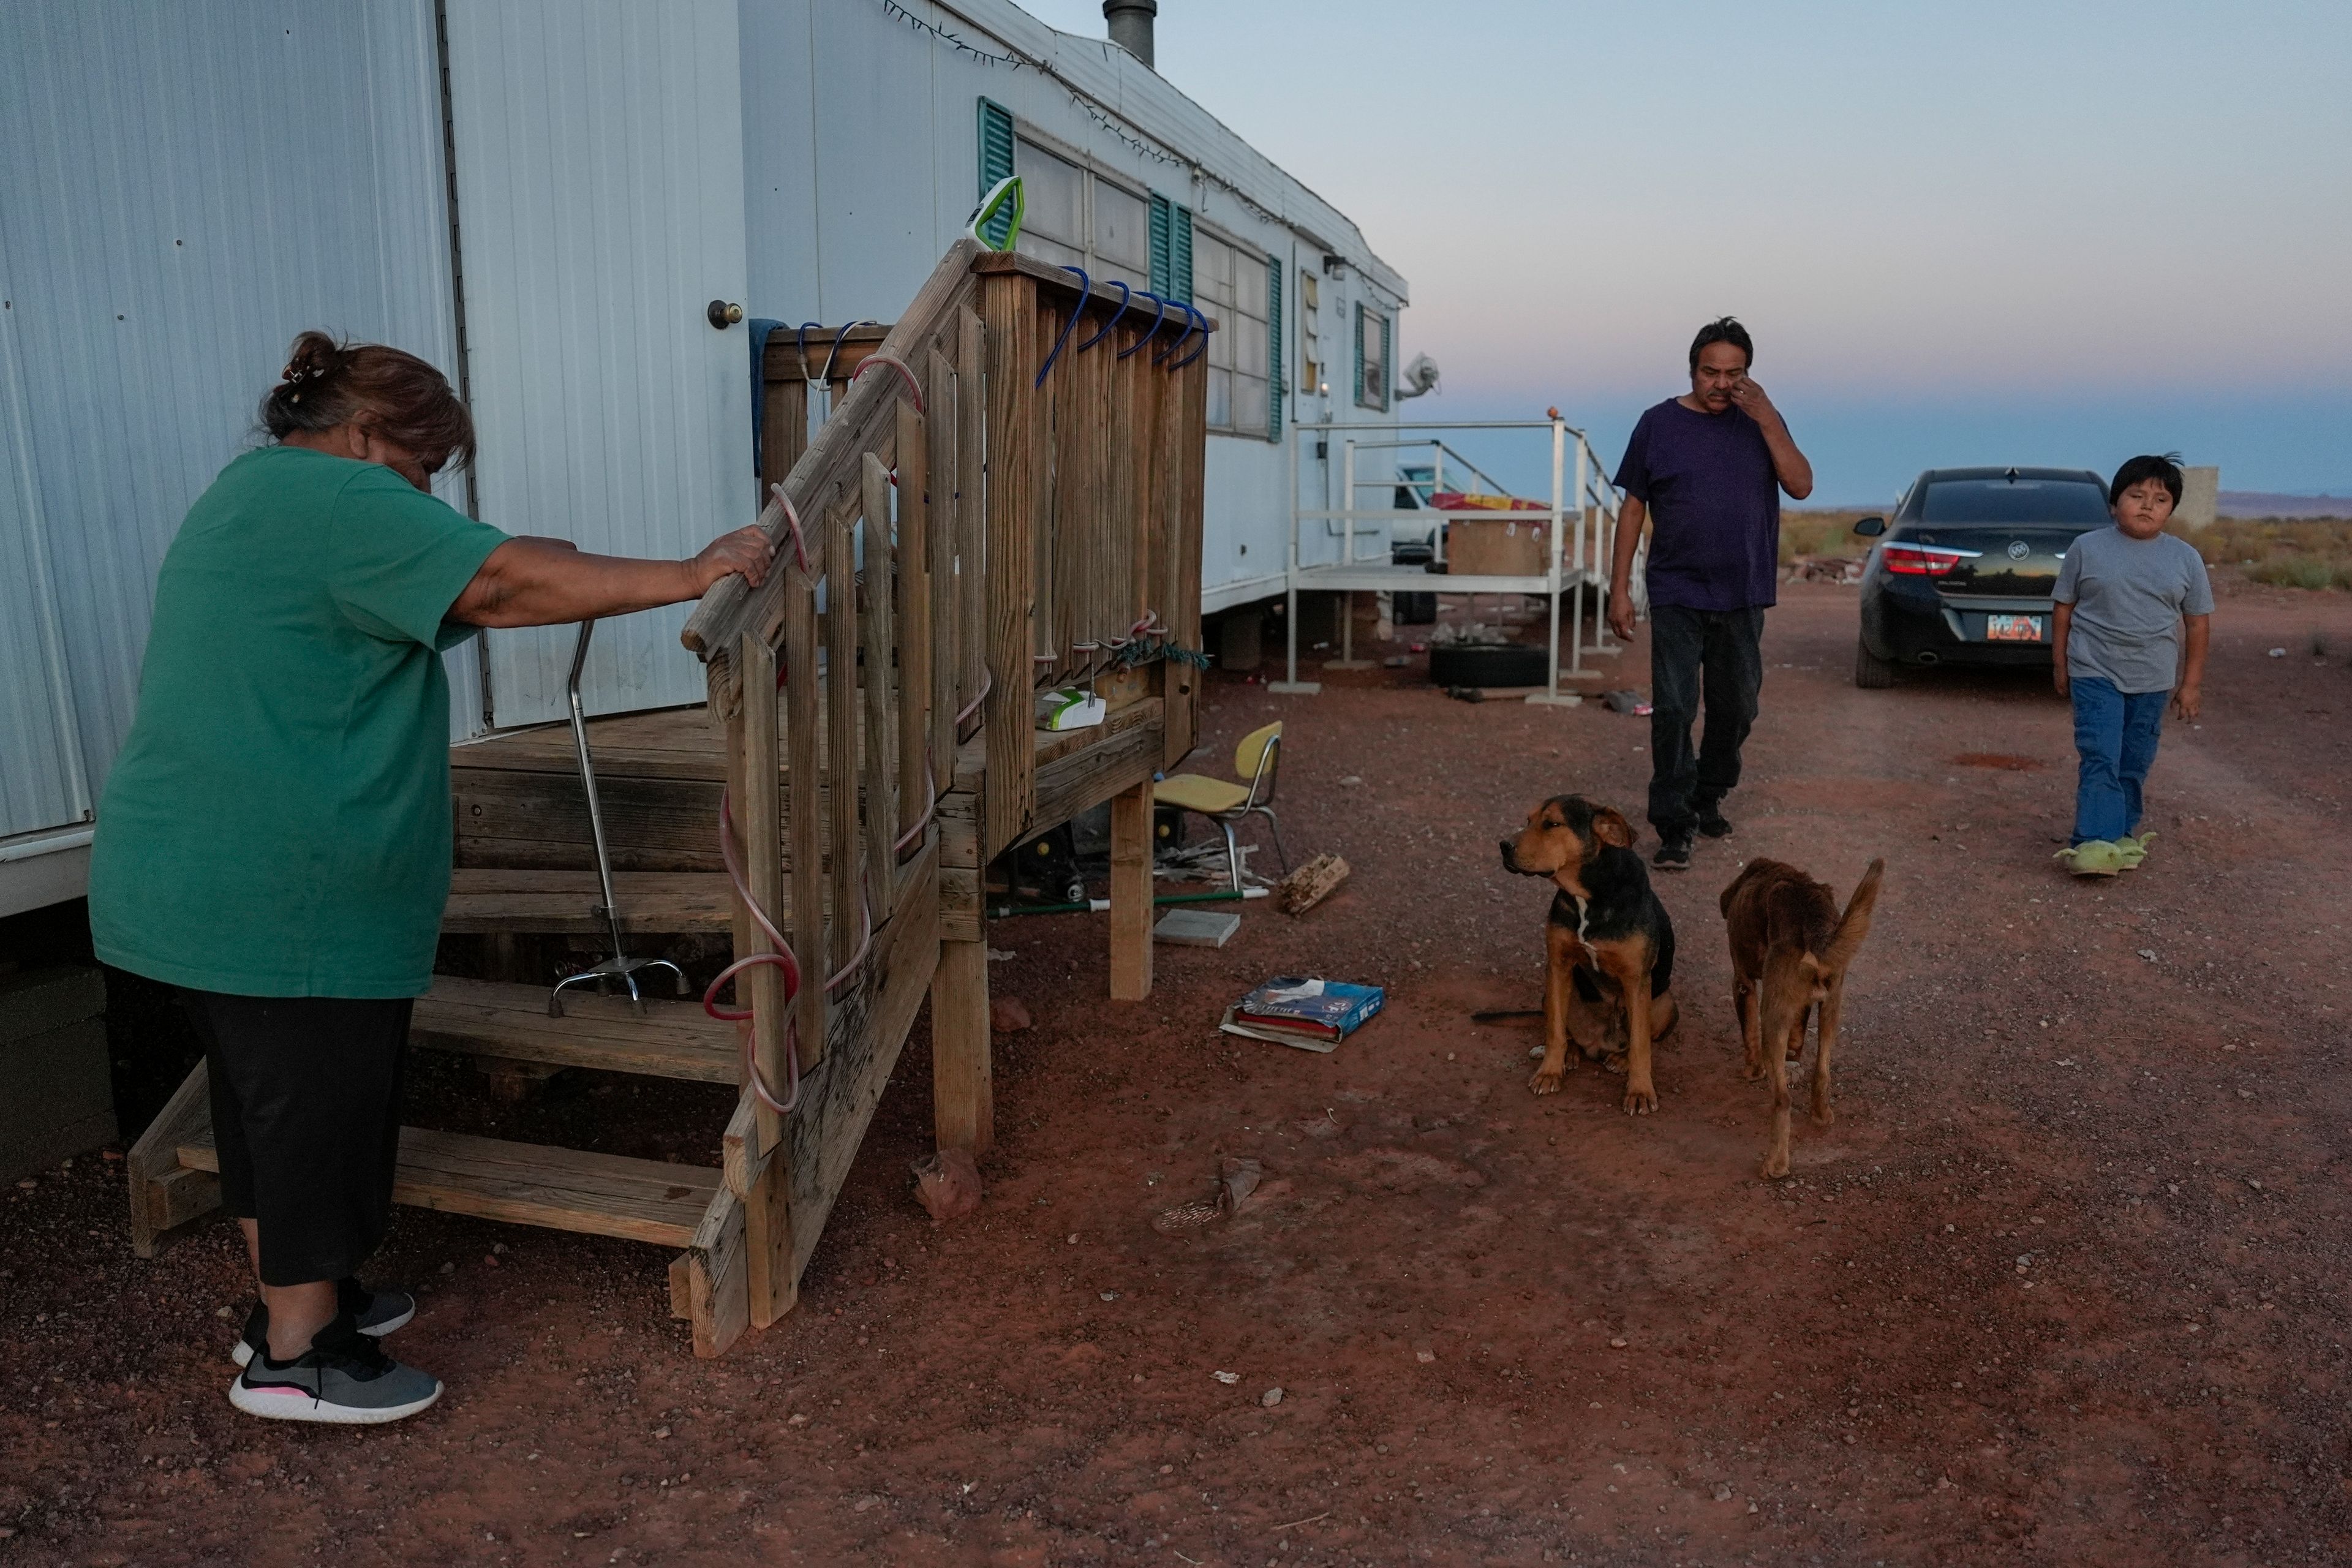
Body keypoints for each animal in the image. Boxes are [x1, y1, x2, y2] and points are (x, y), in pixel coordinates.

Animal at [1496, 799, 1684, 1114]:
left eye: (1553, 824)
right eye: (1529, 820)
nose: (1503, 846)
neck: (1588, 895)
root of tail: (1598, 1045)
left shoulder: (1636, 980)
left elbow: (1640, 1045)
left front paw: (1640, 1091)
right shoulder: (1558, 965)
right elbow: (1555, 1030)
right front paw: (1550, 1071)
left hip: (1665, 1002)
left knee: (1639, 1039)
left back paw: (1620, 1060)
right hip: (1553, 993)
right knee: (1564, 1029)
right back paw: (1571, 1053)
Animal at [1721, 860, 1882, 1175]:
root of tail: (1812, 917)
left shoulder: (1743, 983)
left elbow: (1749, 1036)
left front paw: (1752, 1072)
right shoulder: (1804, 1005)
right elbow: (1798, 1037)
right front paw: (1793, 1056)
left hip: (1773, 1016)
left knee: (1782, 1100)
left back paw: (1776, 1165)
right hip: (1832, 1007)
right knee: (1822, 1071)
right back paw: (1821, 1114)